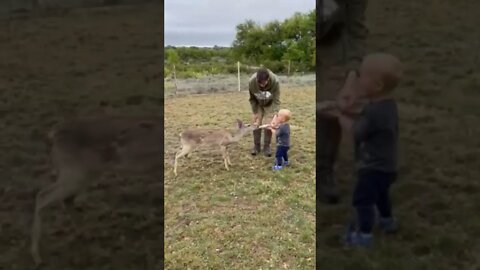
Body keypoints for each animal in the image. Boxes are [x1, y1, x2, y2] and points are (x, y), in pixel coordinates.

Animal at [31, 113, 164, 266]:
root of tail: (54, 134)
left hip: (85, 173)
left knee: (66, 199)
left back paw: (86, 235)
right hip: (74, 171)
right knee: (42, 195)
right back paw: (37, 257)